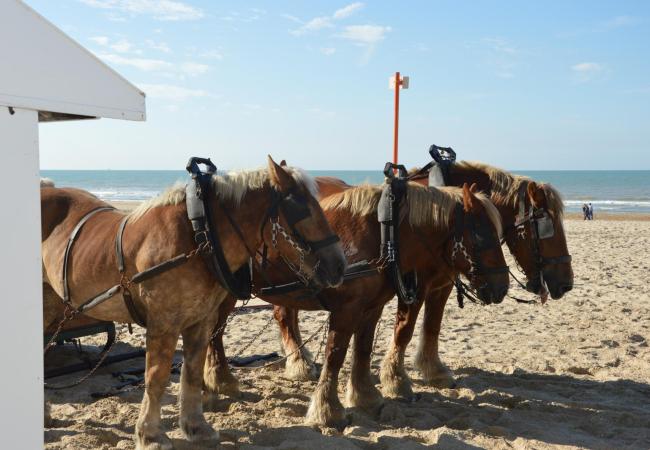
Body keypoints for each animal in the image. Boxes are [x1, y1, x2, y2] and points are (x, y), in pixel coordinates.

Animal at [39, 156, 344, 450]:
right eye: (300, 209)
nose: (339, 266)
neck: (200, 234)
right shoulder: (163, 324)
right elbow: (157, 377)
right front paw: (150, 434)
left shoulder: (202, 319)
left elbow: (193, 372)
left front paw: (196, 427)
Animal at [202, 181, 506, 428]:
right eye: (482, 235)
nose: (502, 285)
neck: (384, 234)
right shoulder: (347, 310)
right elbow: (336, 355)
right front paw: (327, 410)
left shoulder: (373, 307)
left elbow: (363, 349)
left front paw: (365, 396)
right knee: (216, 333)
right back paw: (221, 379)